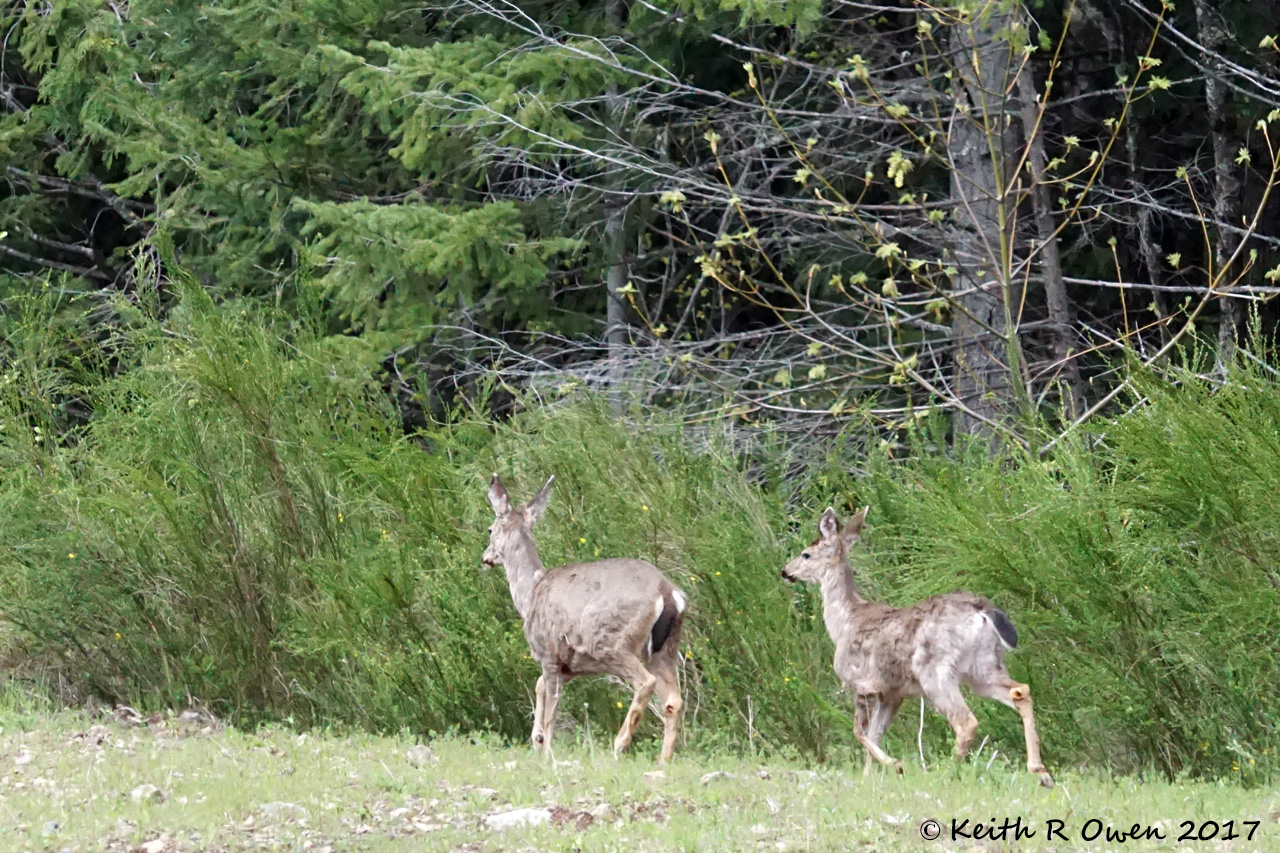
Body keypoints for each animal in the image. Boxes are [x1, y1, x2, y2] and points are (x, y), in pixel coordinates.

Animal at [481, 474, 688, 764]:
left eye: (490, 529)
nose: (485, 558)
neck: (530, 591)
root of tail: (667, 592)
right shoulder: (569, 665)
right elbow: (540, 686)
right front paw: (537, 740)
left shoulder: (548, 653)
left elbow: (551, 708)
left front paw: (546, 749)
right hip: (664, 648)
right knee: (673, 700)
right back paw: (664, 760)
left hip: (611, 642)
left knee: (645, 682)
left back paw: (620, 745)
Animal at [781, 506, 1054, 788]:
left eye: (806, 554)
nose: (785, 571)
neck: (844, 621)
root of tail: (981, 610)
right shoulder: (892, 692)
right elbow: (875, 733)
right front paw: (870, 777)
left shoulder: (862, 683)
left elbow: (859, 732)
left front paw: (895, 765)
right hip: (984, 666)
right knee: (1020, 691)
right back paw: (1040, 771)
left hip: (934, 670)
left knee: (966, 722)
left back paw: (945, 774)